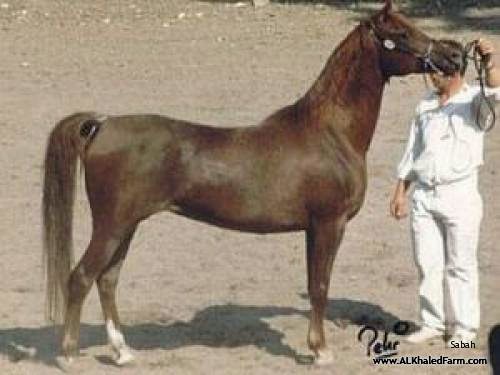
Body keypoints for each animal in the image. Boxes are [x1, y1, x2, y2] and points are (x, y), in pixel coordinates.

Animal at [43, 0, 464, 368]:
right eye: (401, 32)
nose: (453, 55)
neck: (330, 133)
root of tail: (103, 124)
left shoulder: (313, 228)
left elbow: (314, 284)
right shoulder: (329, 224)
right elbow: (320, 286)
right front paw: (321, 351)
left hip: (127, 225)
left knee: (107, 280)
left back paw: (122, 353)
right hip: (112, 225)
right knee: (80, 278)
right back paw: (68, 355)